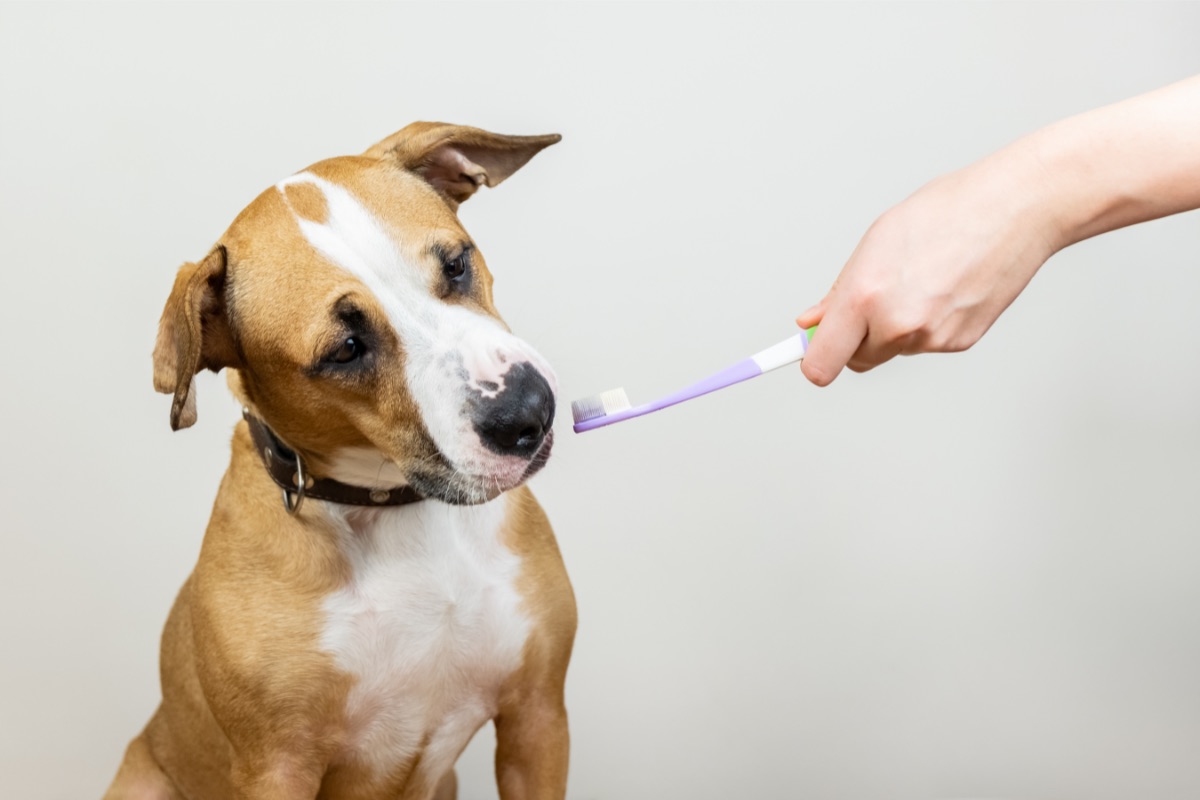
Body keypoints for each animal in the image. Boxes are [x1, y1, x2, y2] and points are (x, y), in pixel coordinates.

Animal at [104, 122, 576, 796]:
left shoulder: (536, 717)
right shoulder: (277, 769)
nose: (527, 411)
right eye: (346, 349)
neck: (399, 509)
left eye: (456, 264)